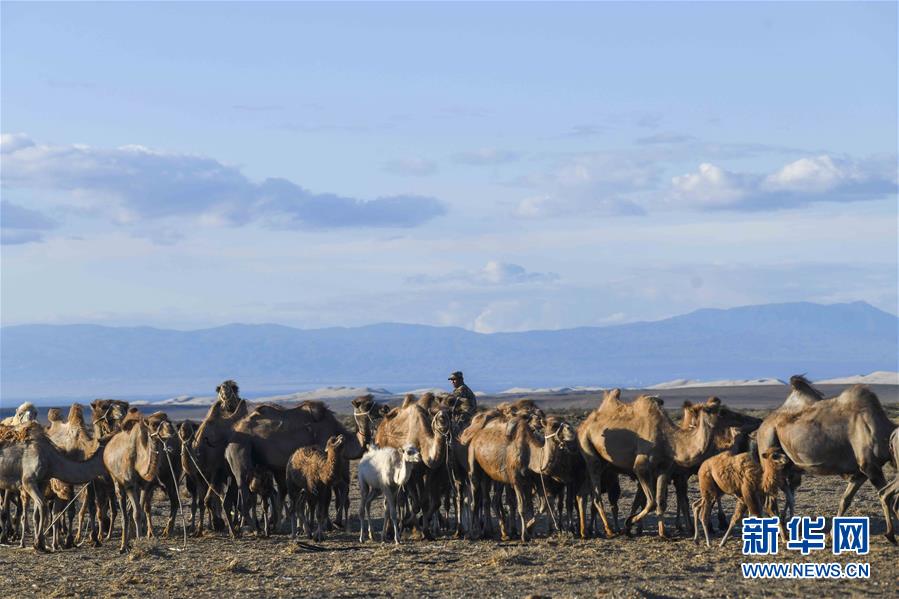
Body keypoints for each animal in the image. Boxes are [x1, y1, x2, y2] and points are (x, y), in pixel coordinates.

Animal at [577, 389, 720, 538]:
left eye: (717, 409)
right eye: (707, 410)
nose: (717, 422)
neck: (669, 439)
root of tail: (584, 424)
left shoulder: (664, 468)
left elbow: (661, 501)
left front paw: (664, 533)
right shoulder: (641, 467)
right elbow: (651, 502)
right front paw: (628, 523)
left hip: (604, 462)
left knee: (585, 493)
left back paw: (586, 531)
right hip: (588, 448)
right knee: (596, 494)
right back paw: (609, 530)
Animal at [756, 375, 898, 542]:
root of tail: (762, 425)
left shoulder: (861, 472)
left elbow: (845, 500)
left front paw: (829, 536)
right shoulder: (870, 466)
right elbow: (889, 497)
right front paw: (890, 535)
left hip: (787, 465)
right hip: (769, 449)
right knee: (770, 501)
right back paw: (784, 536)